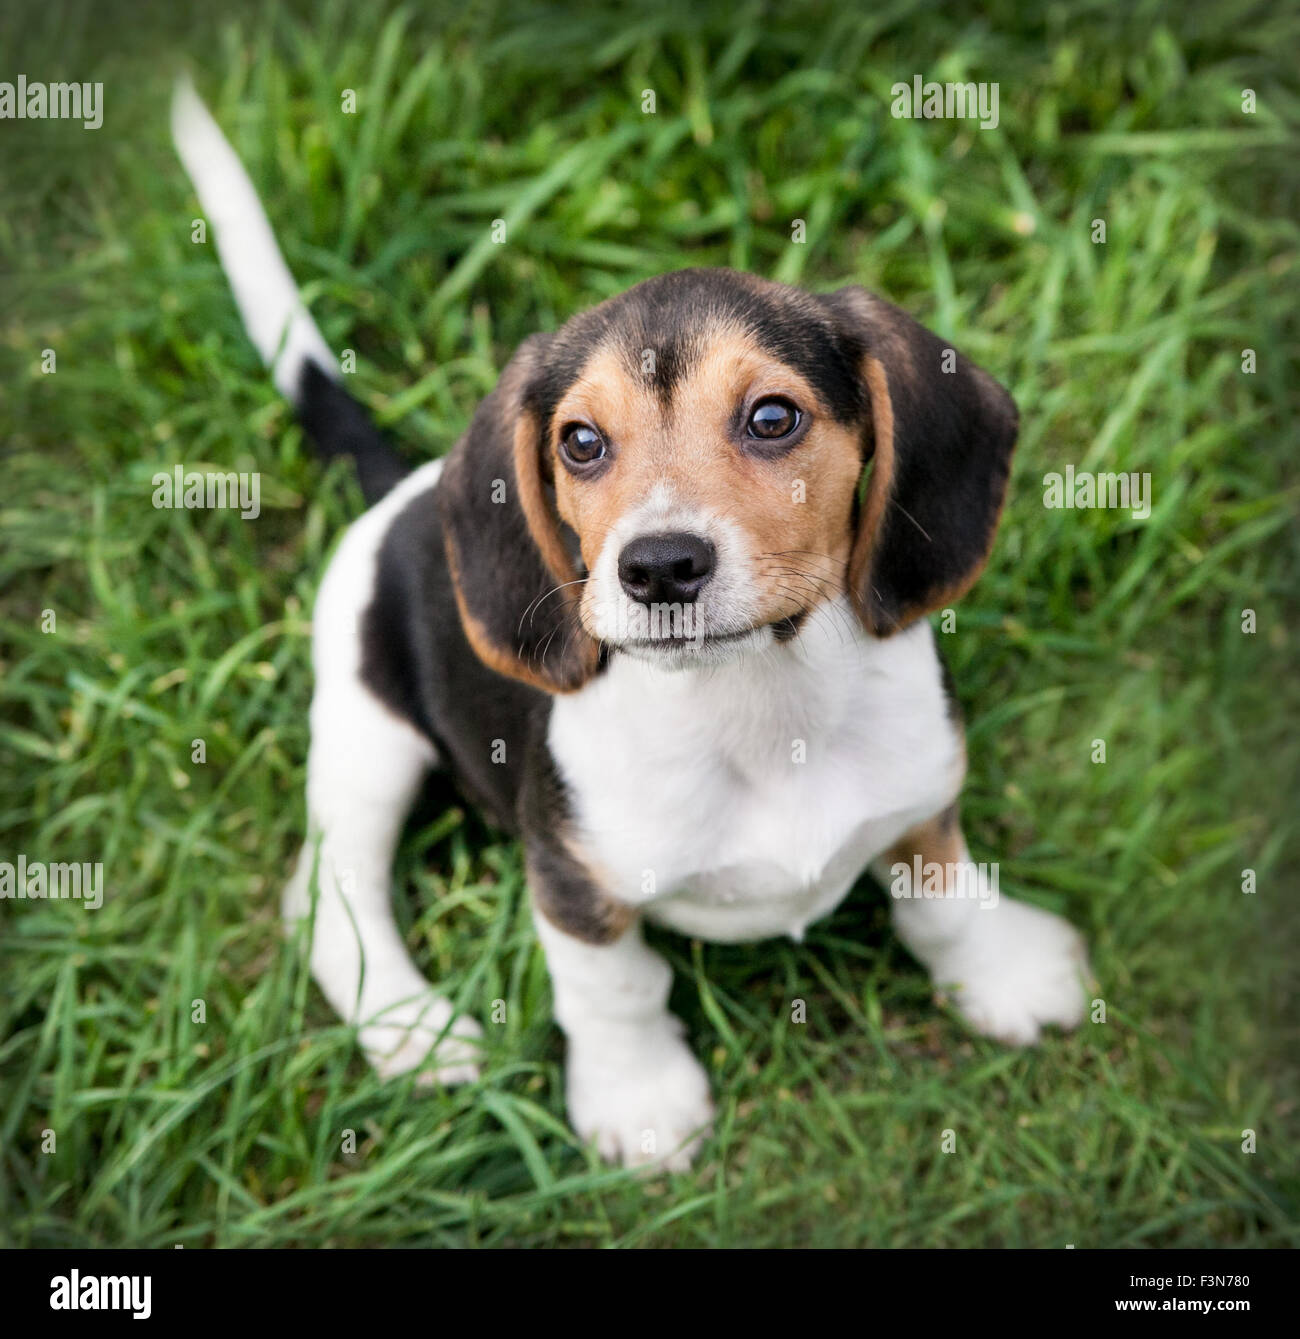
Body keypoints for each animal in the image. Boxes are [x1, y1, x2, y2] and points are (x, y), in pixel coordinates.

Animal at [170, 83, 1087, 1172]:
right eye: (579, 441)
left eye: (772, 418)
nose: (658, 567)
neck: (757, 706)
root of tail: (402, 484)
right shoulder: (572, 878)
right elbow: (615, 990)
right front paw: (640, 1100)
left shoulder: (921, 799)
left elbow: (941, 902)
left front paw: (1004, 971)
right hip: (366, 731)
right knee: (329, 893)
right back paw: (412, 1027)